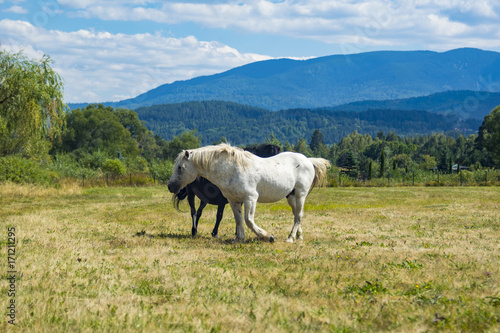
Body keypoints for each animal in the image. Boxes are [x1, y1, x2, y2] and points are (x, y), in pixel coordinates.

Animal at [168, 143, 332, 241]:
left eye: (180, 167)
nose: (171, 186)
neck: (233, 169)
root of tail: (308, 160)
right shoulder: (233, 200)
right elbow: (239, 220)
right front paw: (239, 239)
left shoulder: (250, 198)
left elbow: (248, 220)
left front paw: (267, 236)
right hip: (291, 196)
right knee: (297, 214)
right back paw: (299, 236)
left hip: (300, 194)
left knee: (298, 215)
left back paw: (290, 238)